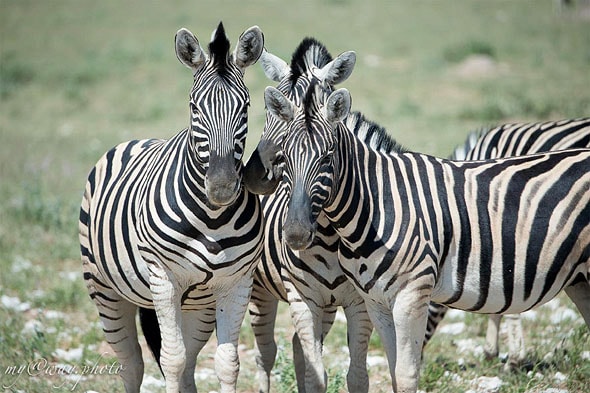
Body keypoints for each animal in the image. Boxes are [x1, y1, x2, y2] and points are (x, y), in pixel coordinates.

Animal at [79, 23, 266, 390]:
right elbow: (172, 360)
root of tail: (136, 140)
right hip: (105, 288)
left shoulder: (237, 283)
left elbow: (227, 363)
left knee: (191, 362)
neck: (212, 219)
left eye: (246, 107)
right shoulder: (163, 279)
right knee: (133, 363)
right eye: (194, 108)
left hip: (198, 305)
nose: (222, 187)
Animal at [243, 37, 372, 392]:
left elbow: (357, 375)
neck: (330, 235)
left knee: (298, 348)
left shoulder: (359, 303)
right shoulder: (304, 298)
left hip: (326, 306)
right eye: (271, 110)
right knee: (265, 354)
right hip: (258, 290)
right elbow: (317, 376)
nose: (255, 175)